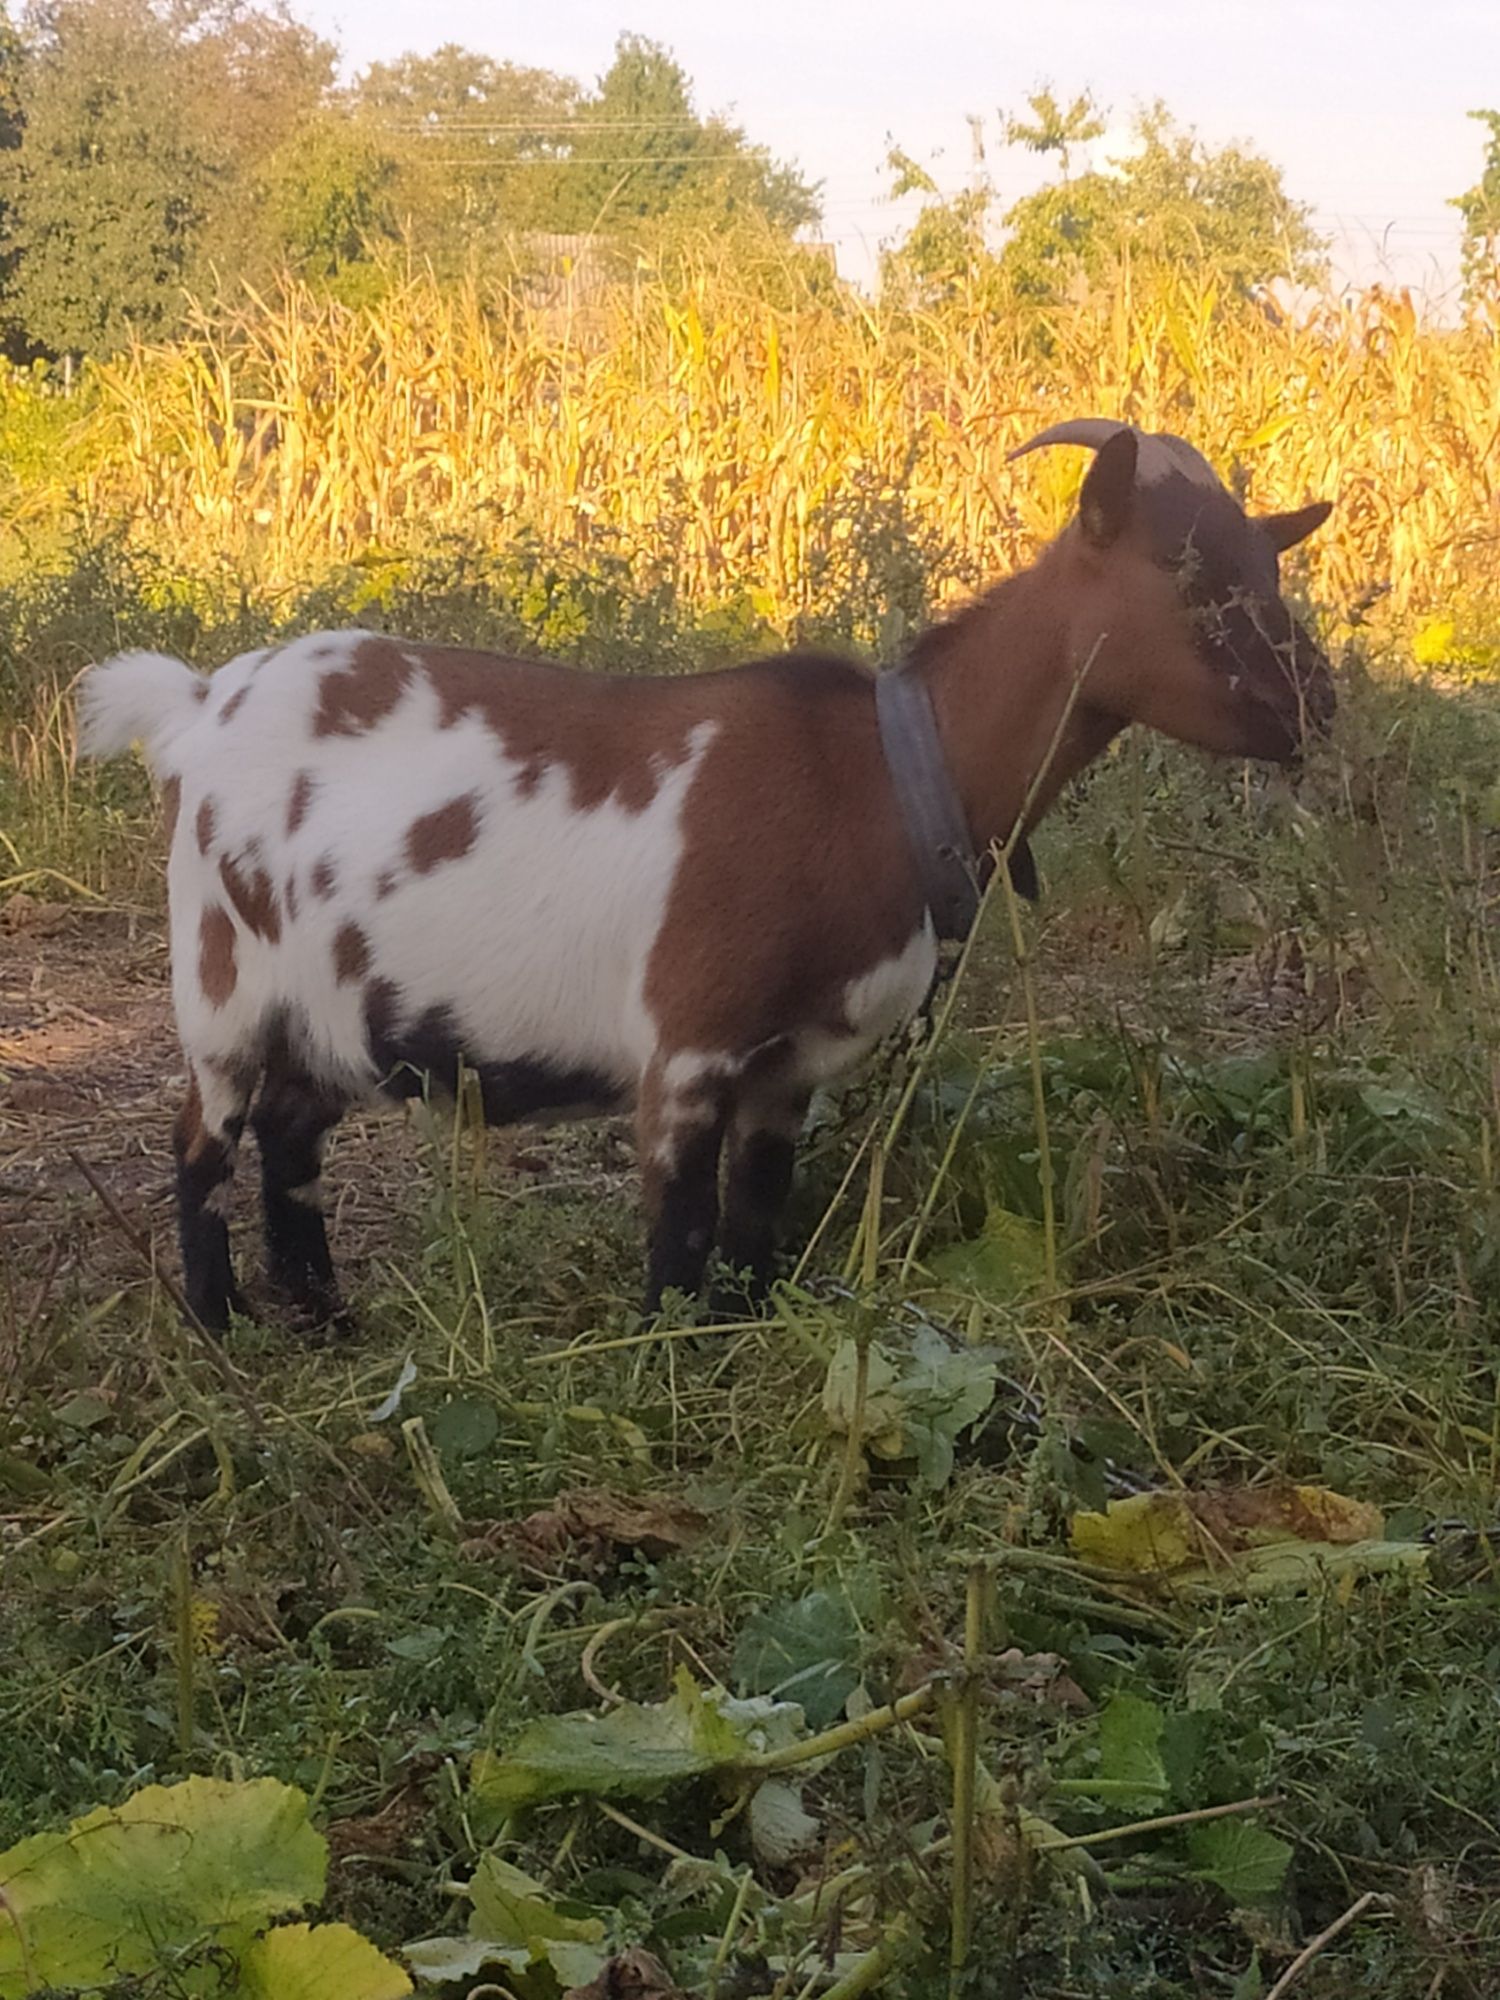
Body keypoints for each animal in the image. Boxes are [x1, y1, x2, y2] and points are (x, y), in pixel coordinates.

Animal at [76, 420, 1336, 1328]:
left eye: (1268, 560)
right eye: (1183, 567)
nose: (1314, 703)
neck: (886, 769)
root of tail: (198, 705)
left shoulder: (794, 1063)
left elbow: (754, 1216)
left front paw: (743, 1330)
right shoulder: (691, 1041)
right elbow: (678, 1231)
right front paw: (666, 1362)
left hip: (328, 1001)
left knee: (292, 1137)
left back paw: (326, 1315)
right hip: (223, 981)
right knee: (205, 1140)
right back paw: (220, 1321)